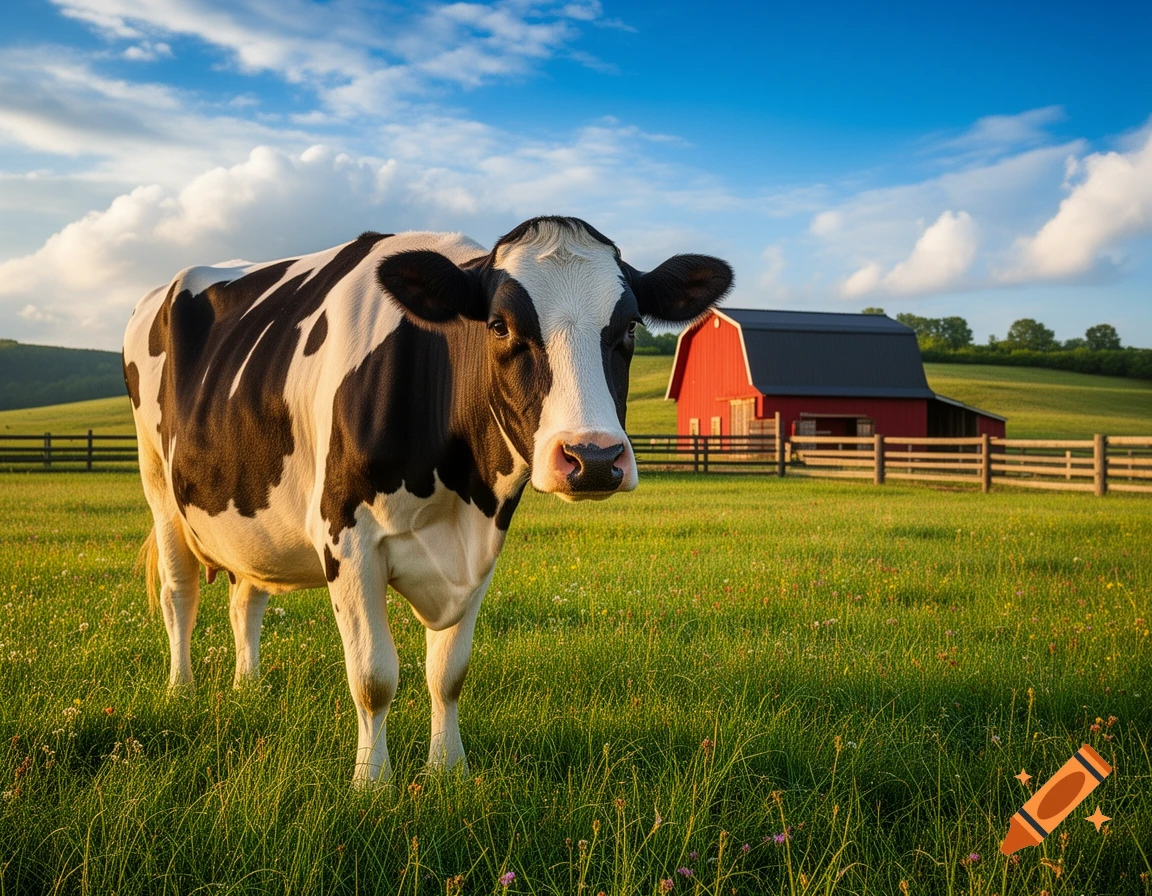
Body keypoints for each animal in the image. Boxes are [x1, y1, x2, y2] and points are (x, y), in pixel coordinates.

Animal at [123, 216, 732, 784]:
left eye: (630, 326)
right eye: (499, 325)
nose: (594, 457)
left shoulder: (481, 546)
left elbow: (449, 672)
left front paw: (448, 771)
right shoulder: (346, 538)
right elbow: (373, 676)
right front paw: (372, 784)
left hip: (251, 513)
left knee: (245, 597)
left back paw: (247, 689)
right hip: (159, 487)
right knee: (179, 594)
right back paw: (182, 691)